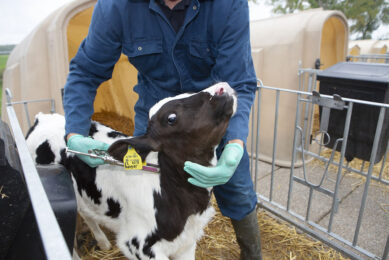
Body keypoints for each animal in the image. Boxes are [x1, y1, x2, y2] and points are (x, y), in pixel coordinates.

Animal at [25, 82, 236, 258]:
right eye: (171, 118)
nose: (221, 88)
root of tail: (43, 118)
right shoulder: (139, 245)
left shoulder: (186, 241)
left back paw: (103, 242)